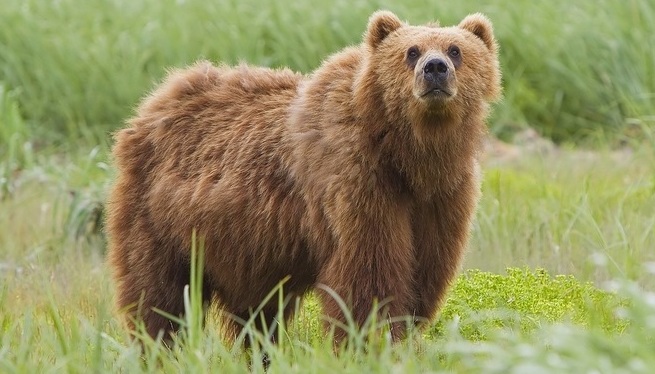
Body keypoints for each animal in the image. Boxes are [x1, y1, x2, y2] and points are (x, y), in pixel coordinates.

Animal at [106, 10, 502, 344]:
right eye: (411, 51)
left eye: (455, 50)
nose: (434, 68)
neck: (408, 155)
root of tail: (155, 101)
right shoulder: (358, 182)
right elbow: (368, 276)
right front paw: (370, 341)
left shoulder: (442, 197)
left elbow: (424, 273)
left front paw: (404, 335)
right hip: (160, 218)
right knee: (160, 295)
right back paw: (159, 346)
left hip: (245, 247)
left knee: (256, 314)